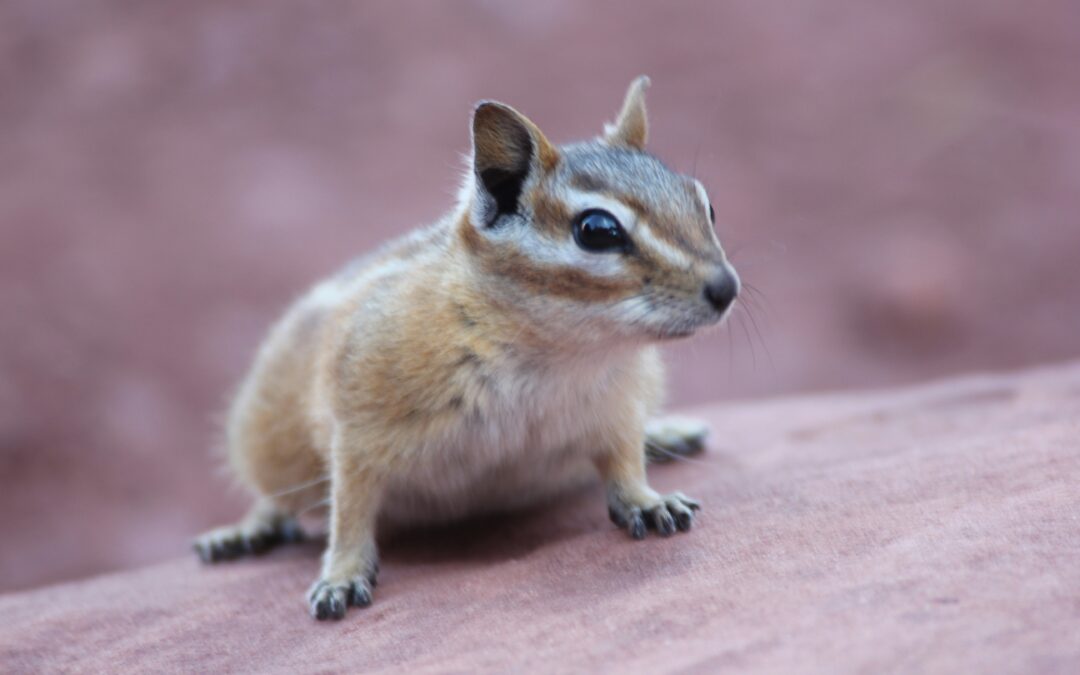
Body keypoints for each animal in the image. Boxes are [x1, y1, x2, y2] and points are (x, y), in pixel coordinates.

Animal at [194, 76, 740, 621]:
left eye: (706, 205)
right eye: (597, 230)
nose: (727, 288)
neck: (553, 354)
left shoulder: (618, 407)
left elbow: (624, 462)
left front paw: (648, 499)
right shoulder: (357, 429)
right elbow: (349, 508)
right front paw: (341, 575)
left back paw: (667, 433)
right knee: (277, 493)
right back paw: (244, 530)